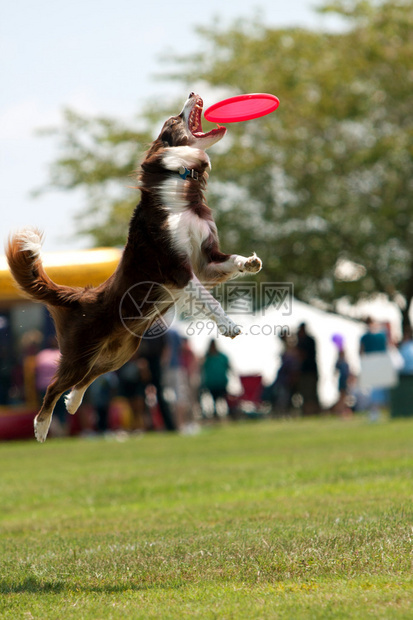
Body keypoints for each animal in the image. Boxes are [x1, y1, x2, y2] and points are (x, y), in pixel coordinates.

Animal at [6, 92, 260, 440]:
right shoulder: (178, 268)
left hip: (121, 352)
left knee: (87, 378)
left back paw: (73, 403)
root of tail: (80, 296)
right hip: (80, 351)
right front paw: (229, 326)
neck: (182, 192)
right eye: (173, 120)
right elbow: (209, 300)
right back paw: (41, 427)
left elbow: (230, 260)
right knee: (55, 385)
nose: (192, 93)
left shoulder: (207, 260)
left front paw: (250, 262)